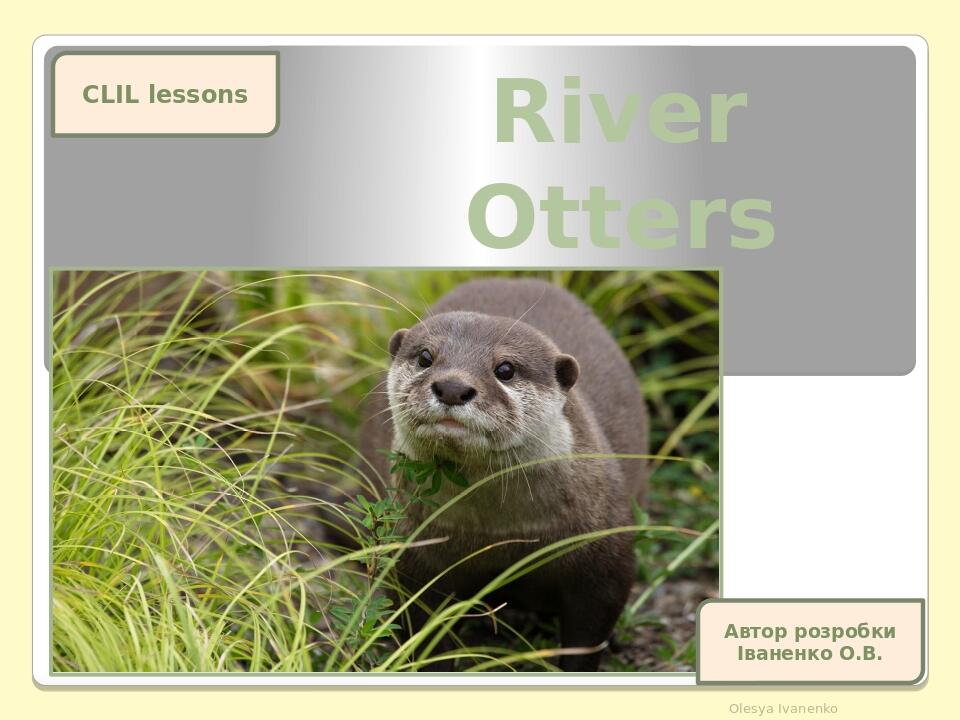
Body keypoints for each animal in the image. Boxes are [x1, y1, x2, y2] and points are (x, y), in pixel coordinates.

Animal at [362, 277, 648, 671]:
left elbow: (590, 631)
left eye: (506, 369)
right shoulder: (414, 553)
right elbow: (422, 626)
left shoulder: (604, 551)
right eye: (425, 357)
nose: (452, 387)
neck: (500, 534)